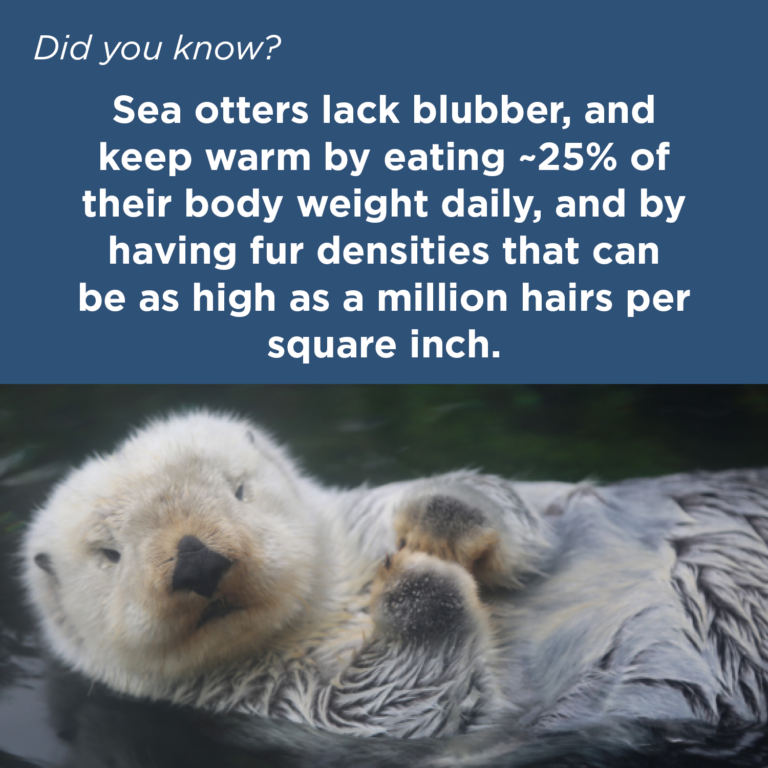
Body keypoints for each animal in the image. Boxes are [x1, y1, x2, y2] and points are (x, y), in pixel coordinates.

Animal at [22, 411, 768, 743]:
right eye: (109, 553)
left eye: (238, 490)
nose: (198, 559)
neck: (336, 601)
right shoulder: (287, 698)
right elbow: (407, 703)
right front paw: (416, 585)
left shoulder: (370, 514)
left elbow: (519, 515)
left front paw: (439, 519)